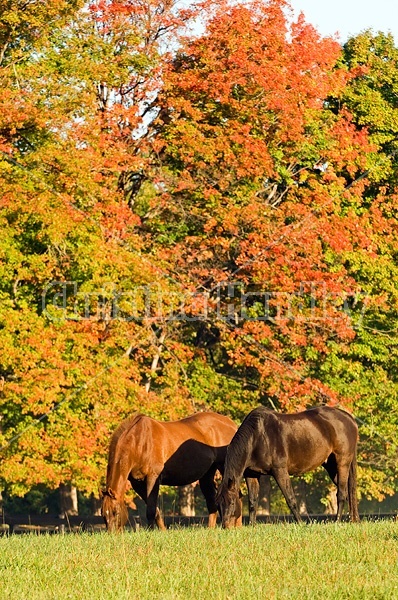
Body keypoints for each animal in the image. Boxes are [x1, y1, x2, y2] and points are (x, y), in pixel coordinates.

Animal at [101, 412, 260, 528]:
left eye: (115, 512)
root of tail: (230, 423)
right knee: (212, 501)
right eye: (104, 514)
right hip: (207, 474)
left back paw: (236, 526)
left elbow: (151, 510)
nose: (113, 534)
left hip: (224, 467)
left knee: (237, 494)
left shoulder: (152, 479)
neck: (139, 442)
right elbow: (156, 510)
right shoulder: (138, 483)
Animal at [216, 406, 360, 528]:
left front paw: (301, 523)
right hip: (331, 467)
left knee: (342, 493)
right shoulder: (252, 474)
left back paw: (337, 521)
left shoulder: (280, 471)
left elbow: (291, 499)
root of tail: (349, 418)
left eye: (232, 502)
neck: (258, 436)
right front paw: (252, 525)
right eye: (218, 505)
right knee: (349, 491)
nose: (225, 526)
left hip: (342, 463)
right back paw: (353, 519)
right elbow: (252, 501)